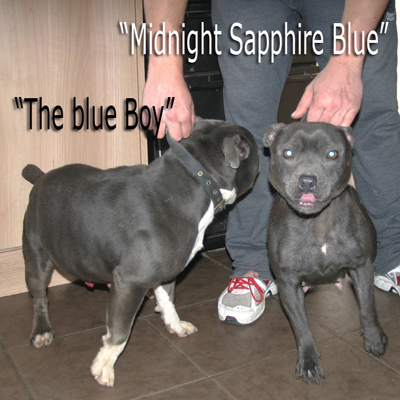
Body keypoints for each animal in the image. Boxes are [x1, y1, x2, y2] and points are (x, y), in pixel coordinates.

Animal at [22, 118, 259, 387]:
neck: (197, 181)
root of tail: (41, 178)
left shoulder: (165, 272)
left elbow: (168, 300)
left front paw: (175, 325)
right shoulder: (129, 282)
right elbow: (120, 332)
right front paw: (103, 366)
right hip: (36, 256)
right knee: (40, 296)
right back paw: (42, 330)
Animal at [263, 121, 388, 384]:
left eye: (332, 154)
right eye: (288, 153)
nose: (307, 181)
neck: (317, 221)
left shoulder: (362, 267)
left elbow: (368, 307)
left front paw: (373, 337)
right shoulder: (288, 282)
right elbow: (301, 326)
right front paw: (309, 361)